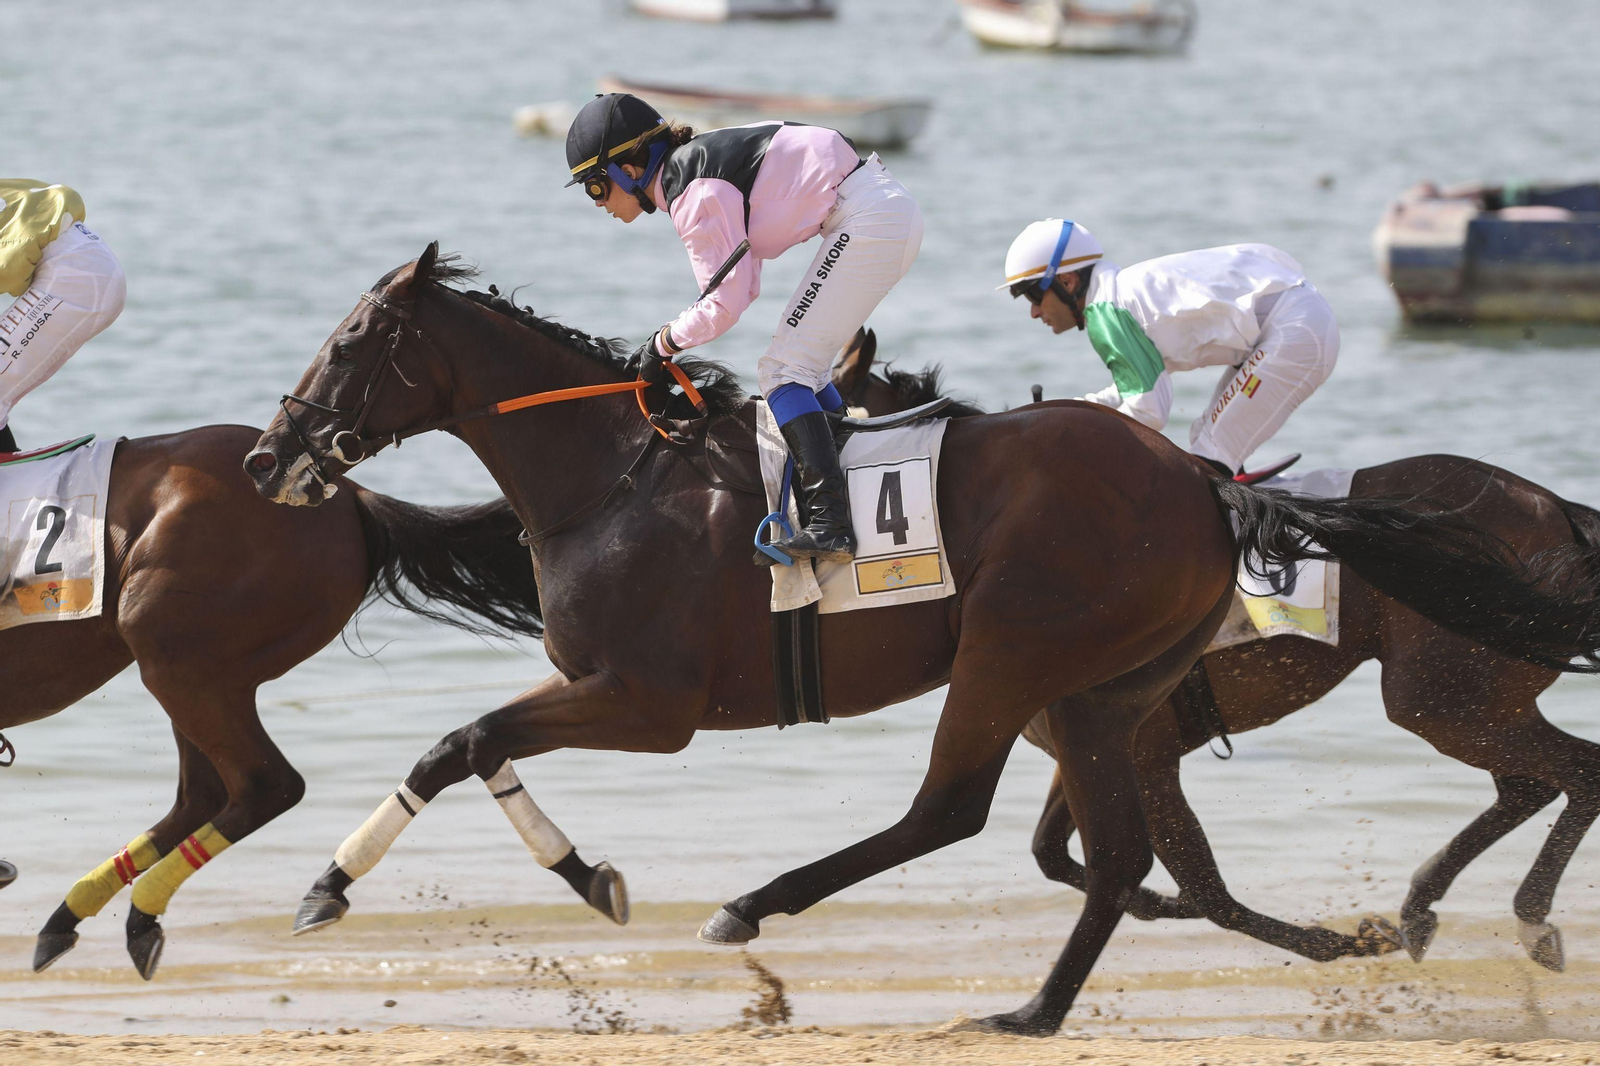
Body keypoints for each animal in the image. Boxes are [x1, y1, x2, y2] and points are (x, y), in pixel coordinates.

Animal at [2, 423, 549, 981]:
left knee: (264, 786)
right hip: (203, 672)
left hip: (175, 654)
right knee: (203, 796)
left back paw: (136, 915)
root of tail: (352, 494)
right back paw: (76, 917)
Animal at [835, 328, 1600, 973]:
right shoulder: (1091, 738)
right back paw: (1423, 909)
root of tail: (1554, 508)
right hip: (1472, 696)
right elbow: (1054, 852)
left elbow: (1204, 889)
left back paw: (1524, 920)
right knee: (1531, 783)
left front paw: (1338, 940)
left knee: (1576, 771)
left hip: (1442, 696)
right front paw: (1155, 903)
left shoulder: (1146, 752)